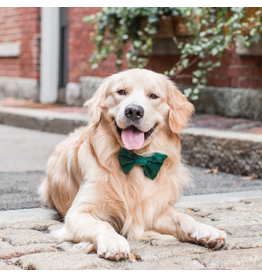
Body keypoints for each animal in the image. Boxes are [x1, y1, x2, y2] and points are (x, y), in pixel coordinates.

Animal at [38, 68, 225, 260]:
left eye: (153, 96)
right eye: (121, 92)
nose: (134, 111)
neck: (136, 158)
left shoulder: (154, 209)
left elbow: (183, 218)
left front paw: (206, 230)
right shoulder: (78, 212)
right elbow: (103, 224)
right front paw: (114, 241)